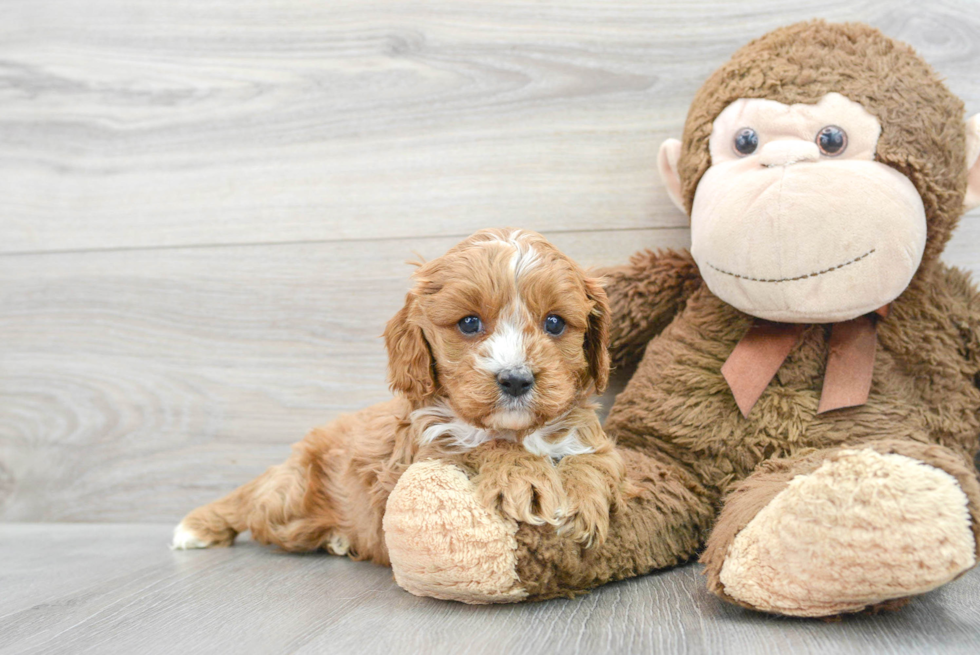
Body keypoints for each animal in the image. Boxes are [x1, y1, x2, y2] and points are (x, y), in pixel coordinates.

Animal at [172, 229, 624, 564]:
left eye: (554, 323)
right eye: (469, 323)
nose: (515, 379)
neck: (517, 431)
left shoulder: (591, 436)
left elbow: (594, 459)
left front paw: (582, 500)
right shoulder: (419, 456)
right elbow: (479, 445)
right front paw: (525, 477)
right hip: (288, 496)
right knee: (253, 499)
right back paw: (198, 526)